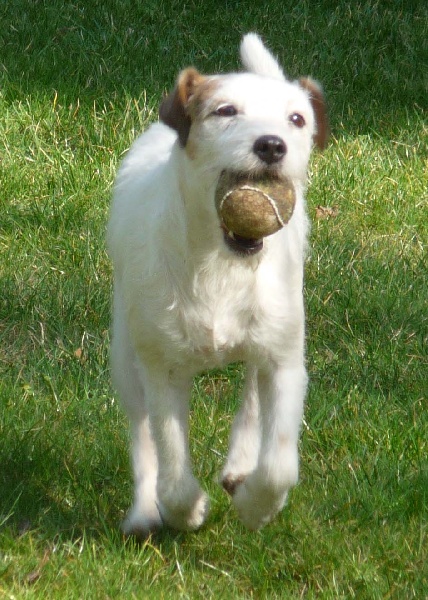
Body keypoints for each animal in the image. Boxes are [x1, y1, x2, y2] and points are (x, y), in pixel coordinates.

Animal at [108, 32, 328, 536]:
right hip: (126, 355)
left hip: (271, 333)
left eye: (297, 119)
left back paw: (240, 465)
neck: (221, 266)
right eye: (225, 111)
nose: (272, 145)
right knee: (141, 435)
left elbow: (279, 464)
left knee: (252, 395)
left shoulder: (286, 361)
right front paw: (185, 511)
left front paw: (256, 504)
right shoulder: (162, 370)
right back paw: (143, 511)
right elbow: (169, 464)